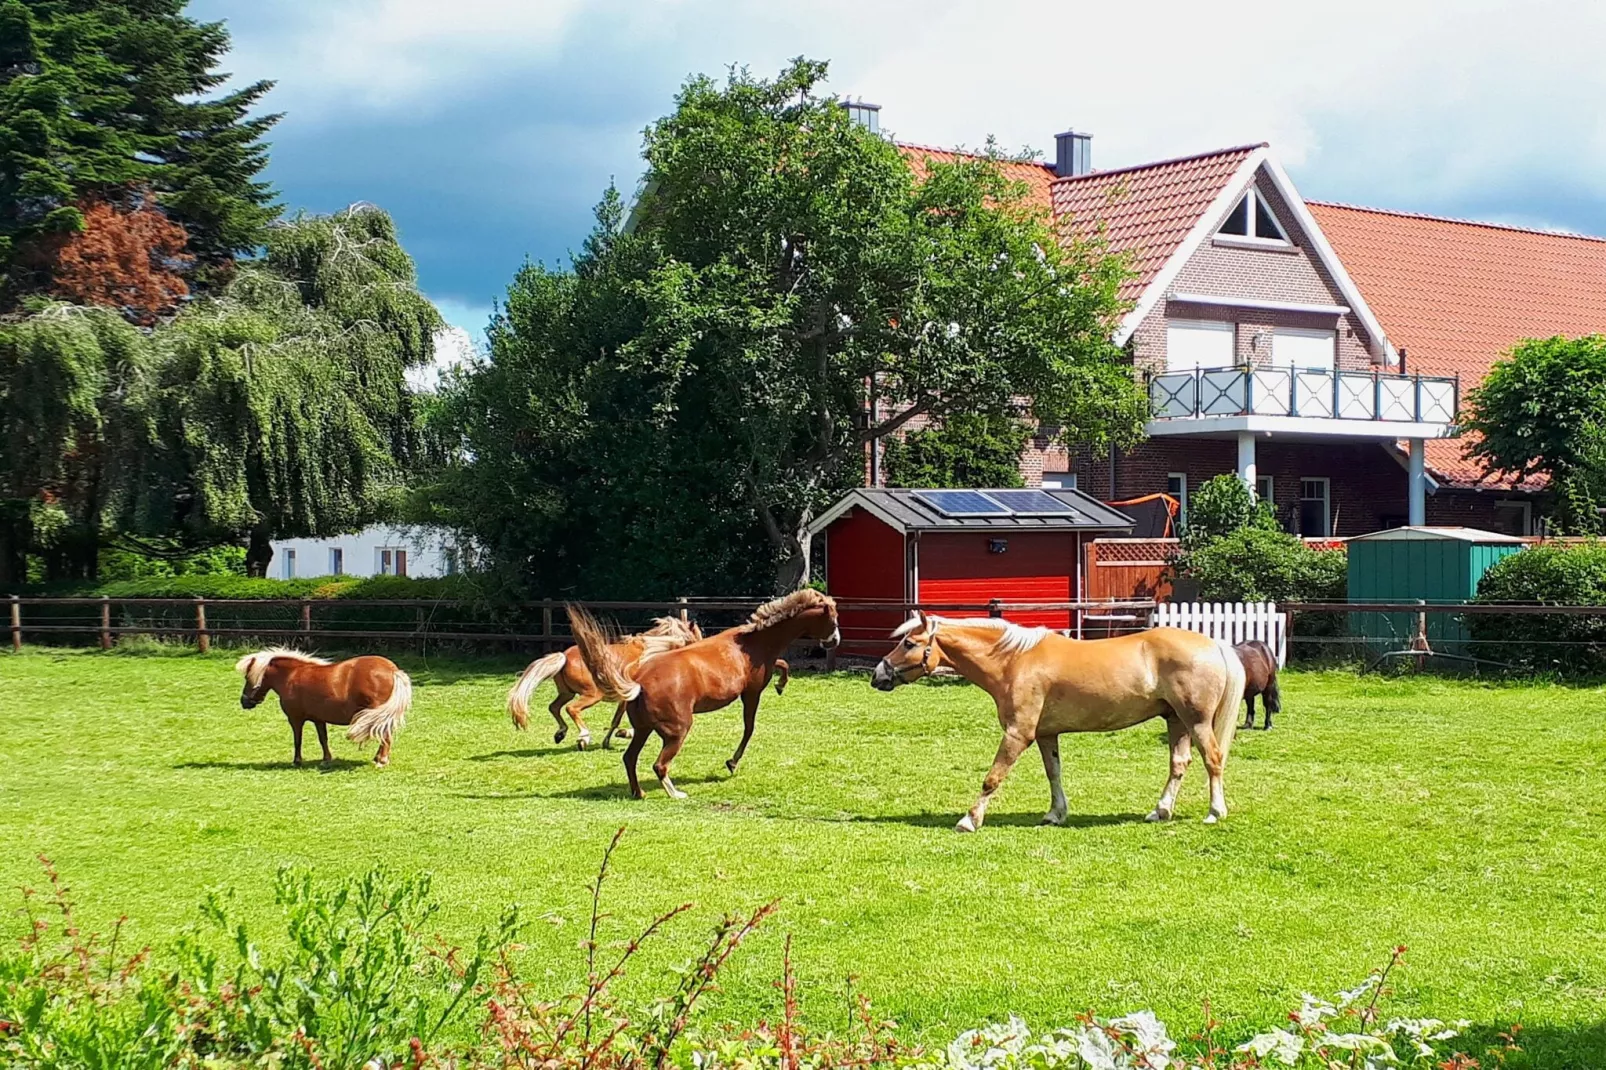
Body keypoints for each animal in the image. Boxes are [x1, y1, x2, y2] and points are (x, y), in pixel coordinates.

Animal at [237, 645, 417, 761]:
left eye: (247, 677)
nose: (244, 702)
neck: (292, 675)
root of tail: (393, 670)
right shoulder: (319, 720)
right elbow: (323, 739)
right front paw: (326, 759)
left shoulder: (295, 719)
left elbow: (297, 740)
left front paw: (297, 761)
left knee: (385, 735)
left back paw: (381, 760)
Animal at [504, 613, 700, 745]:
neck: (651, 649)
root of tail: (564, 656)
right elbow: (622, 719)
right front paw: (623, 734)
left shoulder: (626, 697)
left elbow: (616, 719)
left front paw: (610, 739)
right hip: (592, 695)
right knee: (571, 709)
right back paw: (583, 737)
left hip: (567, 693)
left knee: (554, 707)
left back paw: (561, 733)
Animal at [568, 588, 841, 796]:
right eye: (833, 619)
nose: (836, 640)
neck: (752, 643)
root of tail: (639, 684)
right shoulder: (752, 692)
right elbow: (749, 727)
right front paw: (732, 762)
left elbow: (783, 665)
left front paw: (781, 685)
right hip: (678, 731)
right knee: (659, 765)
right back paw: (675, 793)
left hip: (644, 730)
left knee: (630, 758)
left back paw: (639, 792)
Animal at [873, 613, 1246, 829]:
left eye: (909, 642)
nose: (878, 675)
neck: (1014, 661)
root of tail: (1214, 644)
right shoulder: (1045, 735)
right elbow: (1054, 773)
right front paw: (1055, 814)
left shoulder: (1018, 734)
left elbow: (993, 777)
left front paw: (970, 819)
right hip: (1175, 720)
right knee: (1179, 764)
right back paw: (1160, 811)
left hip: (1197, 721)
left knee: (1213, 760)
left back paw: (1215, 812)